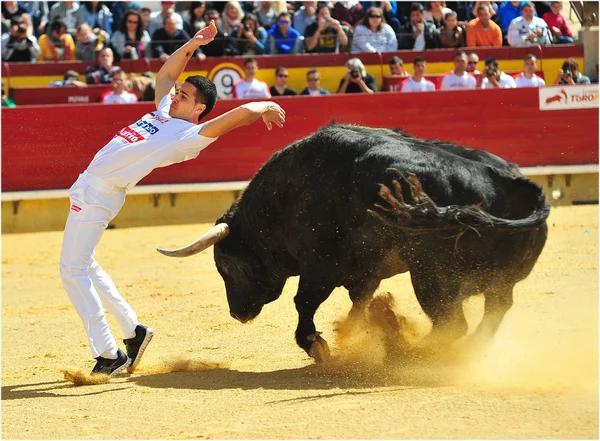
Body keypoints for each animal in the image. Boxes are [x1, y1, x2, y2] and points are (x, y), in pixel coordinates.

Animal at [158, 124, 548, 360]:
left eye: (226, 264)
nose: (236, 313)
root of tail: (511, 181)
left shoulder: (320, 267)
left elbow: (304, 302)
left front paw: (317, 347)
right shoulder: (364, 272)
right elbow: (359, 303)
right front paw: (348, 335)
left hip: (432, 275)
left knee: (452, 322)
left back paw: (408, 354)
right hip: (497, 281)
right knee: (493, 312)